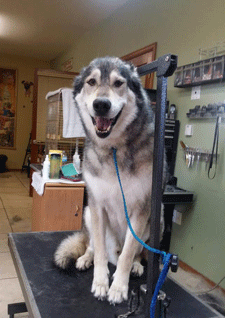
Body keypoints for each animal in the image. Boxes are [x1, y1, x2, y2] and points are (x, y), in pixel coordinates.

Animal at [53, 57, 166, 306]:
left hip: (158, 220)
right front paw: (100, 282)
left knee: (135, 252)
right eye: (91, 82)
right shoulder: (97, 206)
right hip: (88, 213)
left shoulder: (141, 210)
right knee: (92, 246)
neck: (113, 149)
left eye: (118, 83)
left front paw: (118, 287)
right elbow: (100, 252)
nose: (101, 105)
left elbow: (128, 254)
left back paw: (136, 266)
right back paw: (85, 259)